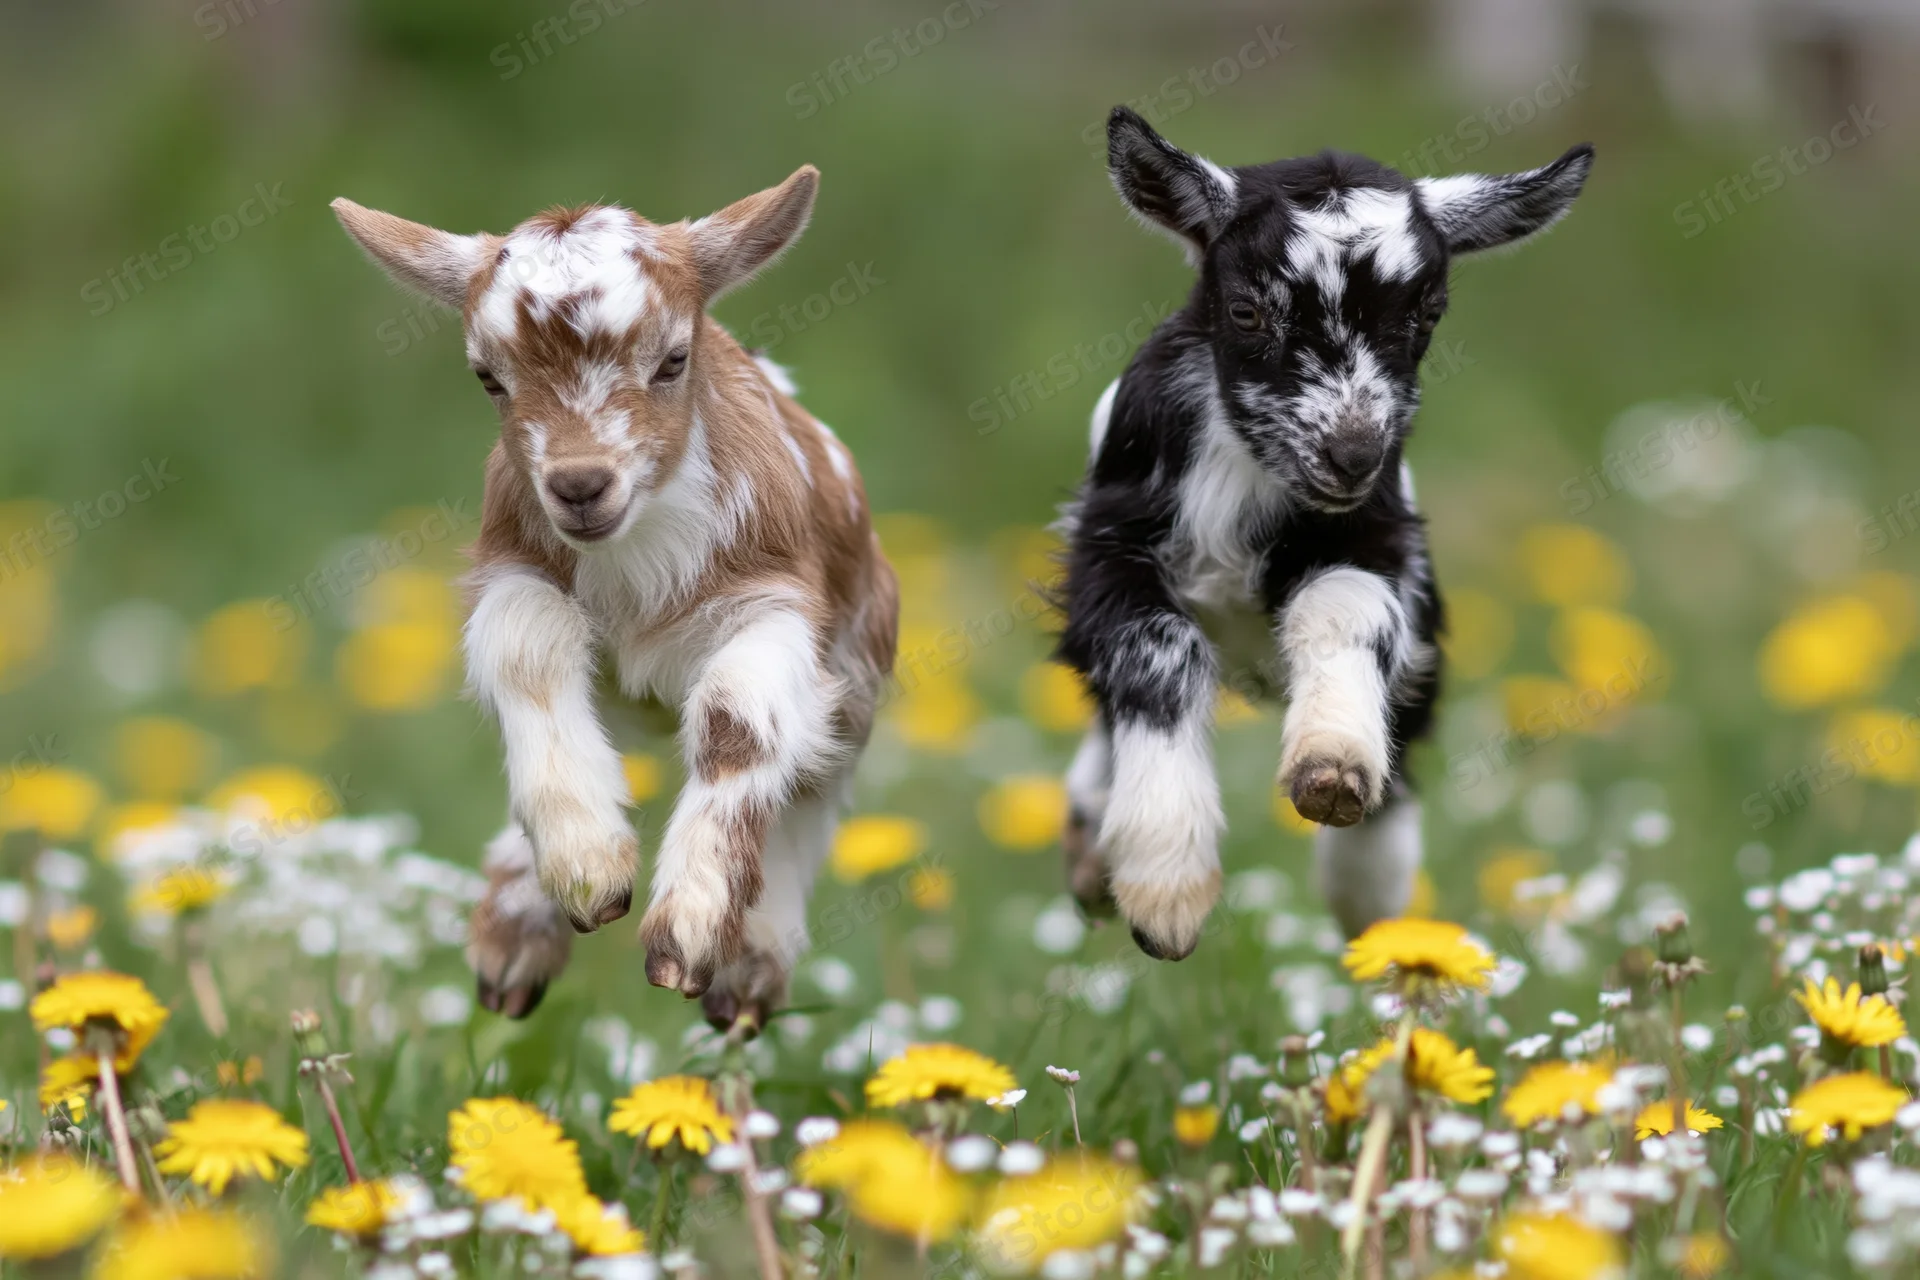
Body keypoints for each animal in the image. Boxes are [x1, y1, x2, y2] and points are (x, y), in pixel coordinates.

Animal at [333, 169, 898, 1028]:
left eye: (672, 360)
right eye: (489, 378)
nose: (579, 485)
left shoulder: (773, 602)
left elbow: (738, 720)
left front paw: (690, 935)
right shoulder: (515, 573)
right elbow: (527, 659)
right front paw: (588, 872)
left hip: (859, 665)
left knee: (814, 778)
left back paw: (748, 979)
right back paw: (513, 943)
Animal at [1057, 108, 1593, 959]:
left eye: (1426, 315)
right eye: (1247, 311)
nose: (1353, 453)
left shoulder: (1380, 542)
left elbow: (1341, 610)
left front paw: (1334, 768)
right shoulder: (1107, 549)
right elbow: (1156, 653)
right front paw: (1165, 882)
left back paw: (1374, 903)